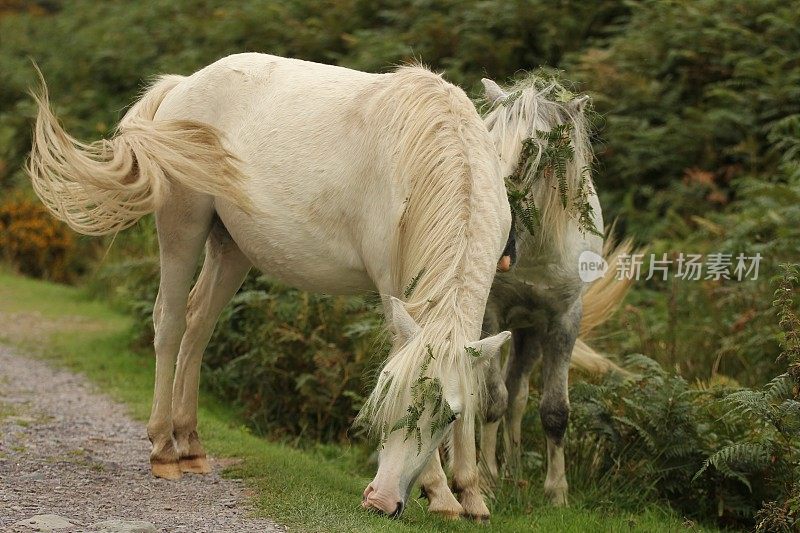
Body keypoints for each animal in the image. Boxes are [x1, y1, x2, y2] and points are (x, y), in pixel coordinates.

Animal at [29, 54, 512, 516]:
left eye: (450, 417)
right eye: (385, 396)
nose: (380, 501)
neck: (439, 152)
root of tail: (183, 86)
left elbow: (473, 377)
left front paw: (471, 494)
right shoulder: (395, 290)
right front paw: (441, 493)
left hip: (231, 249)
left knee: (197, 325)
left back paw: (191, 446)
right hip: (182, 229)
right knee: (169, 323)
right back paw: (165, 449)